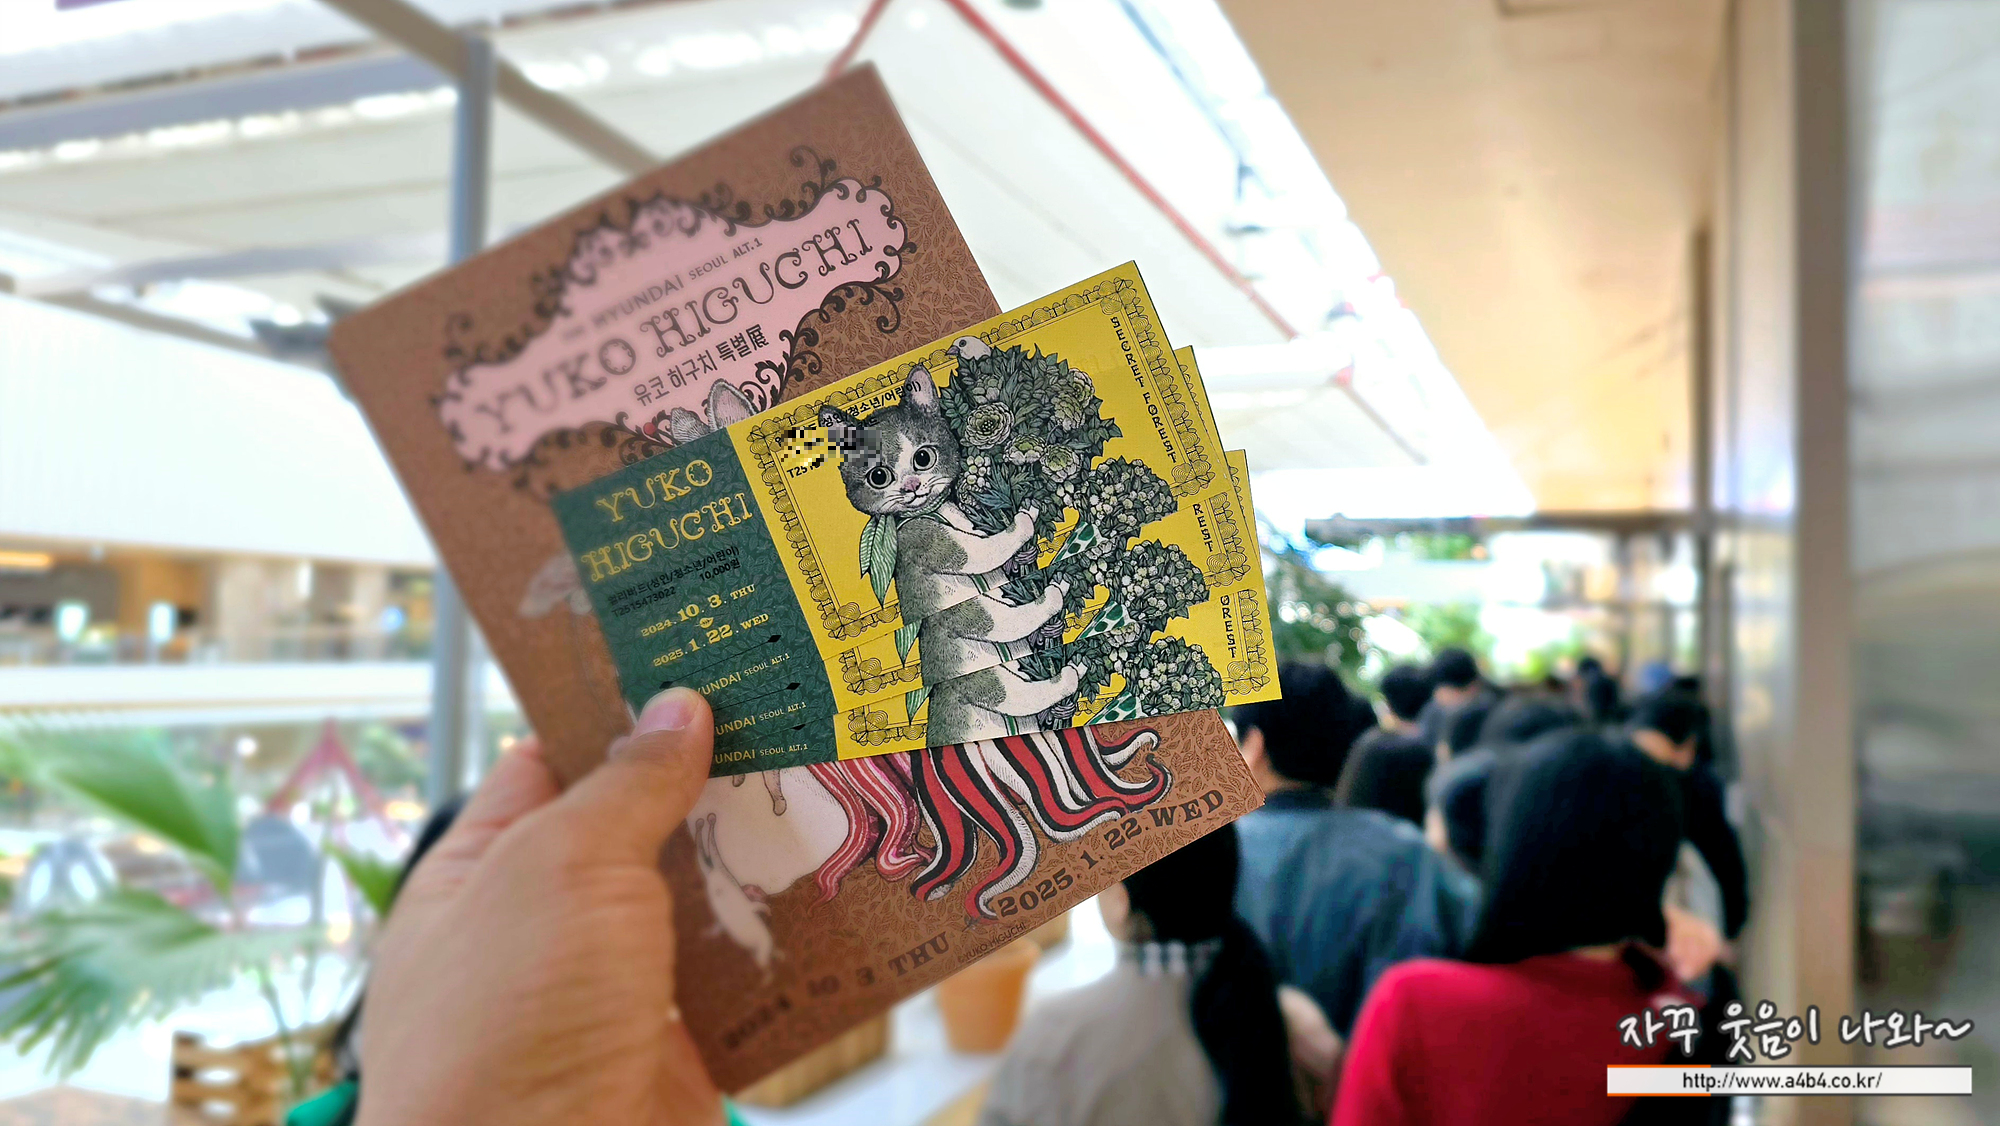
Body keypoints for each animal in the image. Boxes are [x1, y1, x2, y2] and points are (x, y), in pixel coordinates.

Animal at [820, 364, 1081, 745]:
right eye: (878, 476)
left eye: (923, 458)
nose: (912, 487)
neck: (937, 512)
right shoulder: (926, 547)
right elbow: (988, 559)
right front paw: (1028, 530)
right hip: (976, 676)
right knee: (1017, 693)